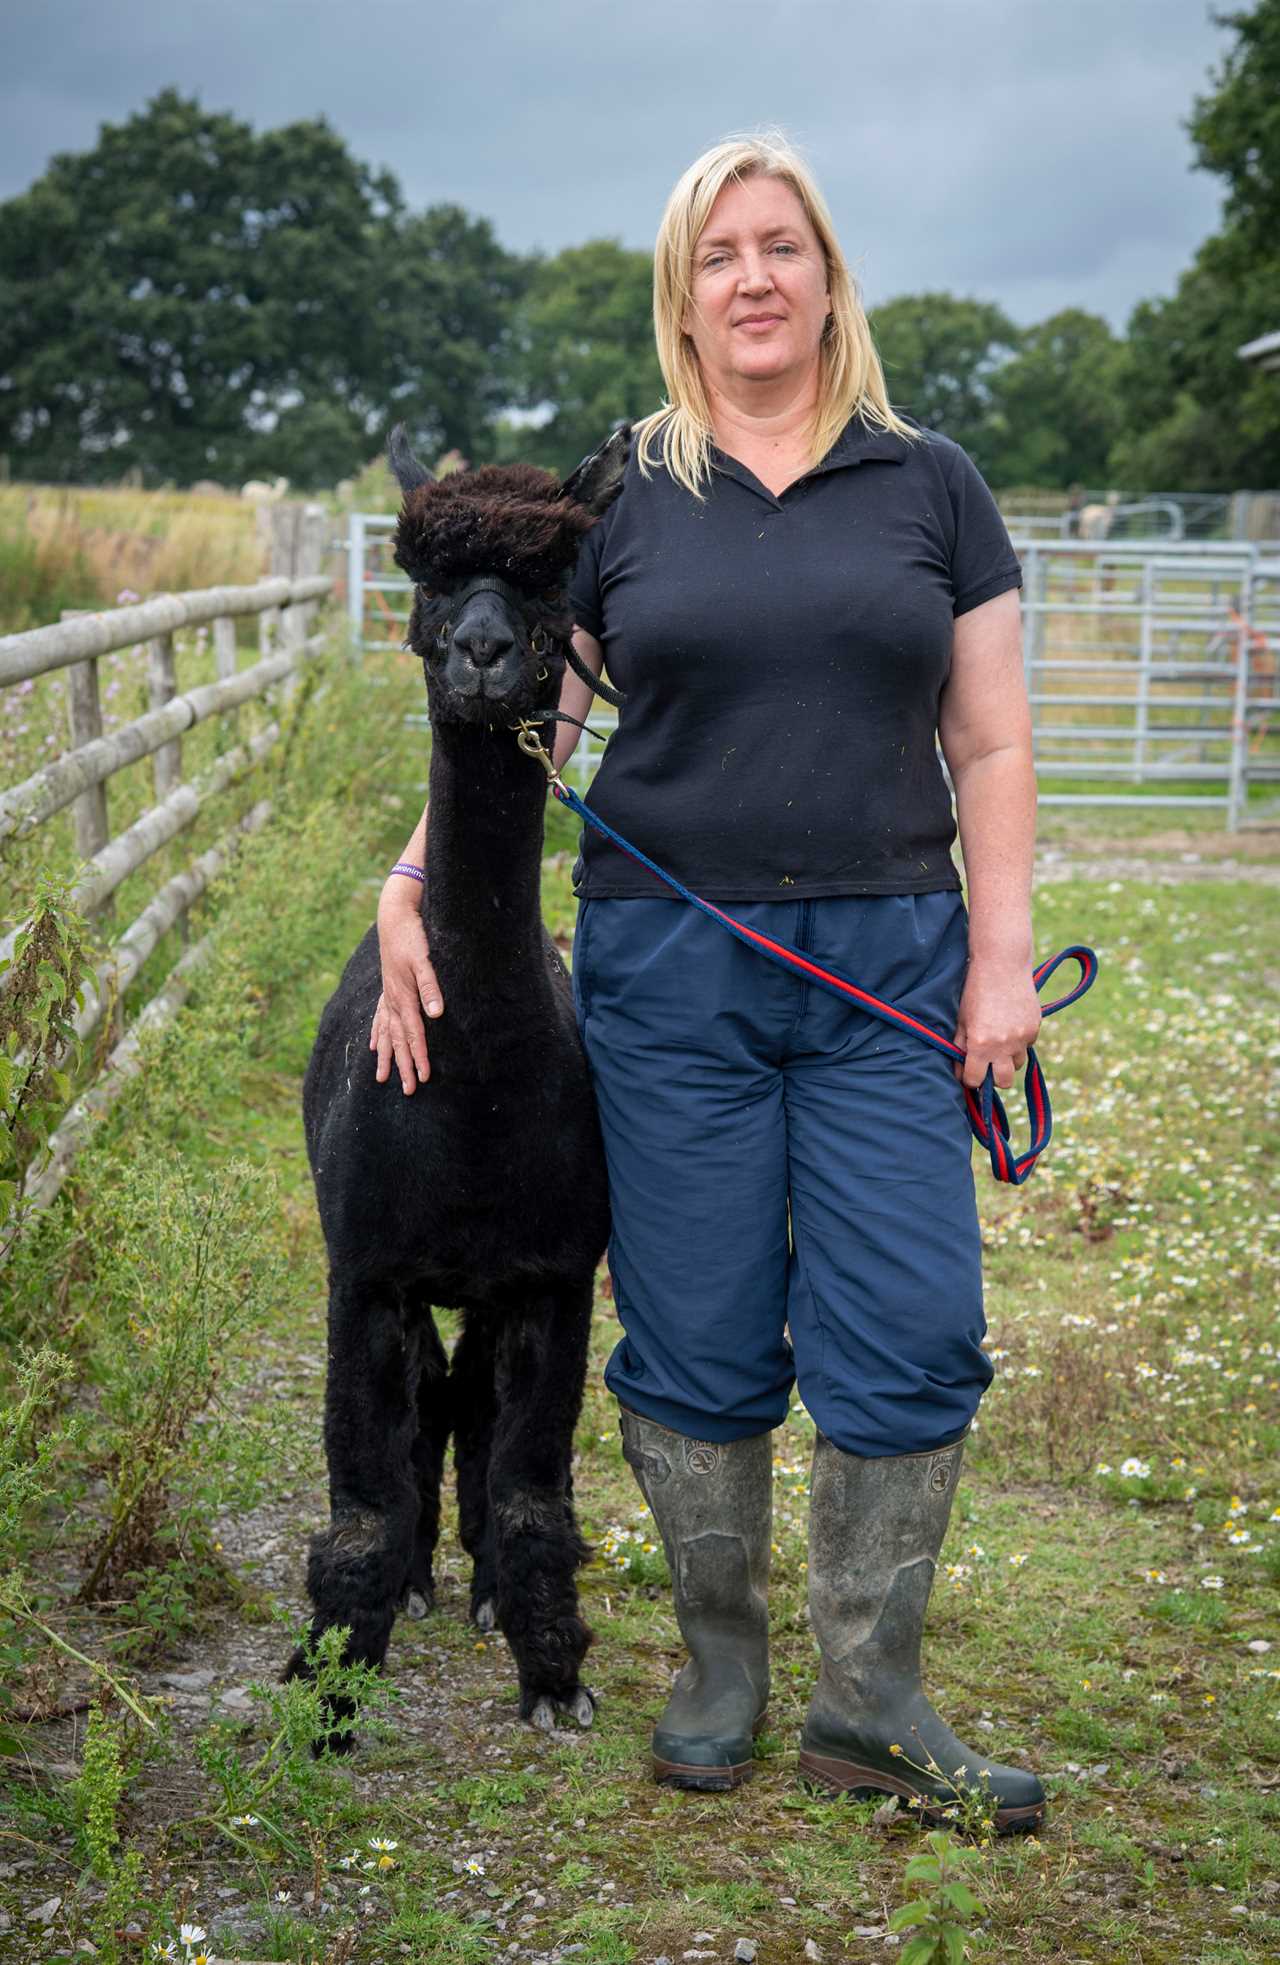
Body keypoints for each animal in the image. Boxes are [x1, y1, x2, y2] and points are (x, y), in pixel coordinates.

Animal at [283, 426, 629, 1737]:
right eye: (425, 581)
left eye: (548, 587)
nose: (481, 654)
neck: (471, 1105)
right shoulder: (366, 1269)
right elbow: (360, 1500)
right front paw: (327, 1688)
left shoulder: (550, 1271)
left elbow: (532, 1487)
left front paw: (553, 1676)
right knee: (434, 1394)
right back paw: (426, 1583)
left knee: (470, 1398)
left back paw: (476, 1588)